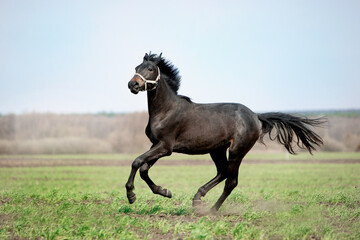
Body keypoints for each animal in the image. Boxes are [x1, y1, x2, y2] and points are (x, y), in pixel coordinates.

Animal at [125, 52, 324, 212]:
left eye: (150, 68)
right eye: (136, 67)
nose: (132, 84)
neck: (166, 110)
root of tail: (256, 116)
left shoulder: (165, 146)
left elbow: (137, 162)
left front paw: (131, 195)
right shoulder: (158, 145)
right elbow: (143, 169)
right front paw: (165, 191)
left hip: (237, 151)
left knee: (231, 180)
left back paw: (211, 210)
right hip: (217, 149)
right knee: (223, 172)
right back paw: (198, 198)